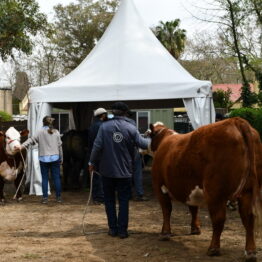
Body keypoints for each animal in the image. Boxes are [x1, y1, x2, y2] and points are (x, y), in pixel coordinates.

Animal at [149, 117, 262, 262]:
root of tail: (235, 120)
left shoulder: (159, 187)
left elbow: (166, 210)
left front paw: (165, 233)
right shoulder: (190, 189)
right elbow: (193, 208)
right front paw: (195, 229)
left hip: (215, 192)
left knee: (219, 219)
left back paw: (213, 248)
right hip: (248, 190)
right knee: (248, 217)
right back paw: (250, 252)